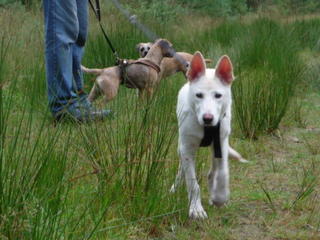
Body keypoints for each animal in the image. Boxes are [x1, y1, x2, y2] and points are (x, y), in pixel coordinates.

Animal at [171, 52, 241, 219]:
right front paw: (196, 209)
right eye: (199, 95)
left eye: (218, 95)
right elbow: (192, 182)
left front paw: (220, 197)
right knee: (182, 168)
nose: (207, 118)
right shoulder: (187, 149)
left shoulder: (221, 142)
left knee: (213, 170)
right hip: (181, 146)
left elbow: (222, 172)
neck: (205, 127)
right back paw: (175, 186)